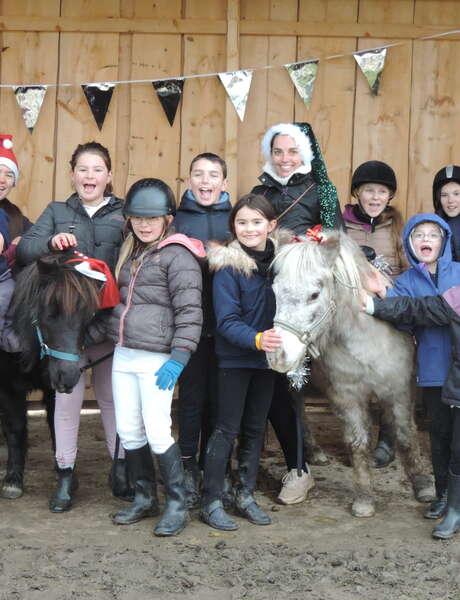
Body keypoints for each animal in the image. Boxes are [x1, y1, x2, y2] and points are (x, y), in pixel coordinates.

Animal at [268, 230, 434, 516]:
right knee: (298, 411)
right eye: (275, 292)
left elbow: (405, 434)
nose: (278, 355)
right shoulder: (347, 395)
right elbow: (357, 442)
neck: (364, 340)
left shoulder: (399, 389)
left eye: (314, 294)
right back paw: (314, 452)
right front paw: (365, 498)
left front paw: (422, 484)